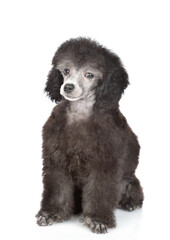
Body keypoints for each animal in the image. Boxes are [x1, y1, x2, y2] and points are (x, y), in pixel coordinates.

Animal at [36, 37, 144, 232]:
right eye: (66, 71)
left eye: (89, 75)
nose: (68, 87)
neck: (80, 112)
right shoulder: (56, 159)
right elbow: (57, 189)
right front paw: (51, 214)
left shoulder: (104, 164)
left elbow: (99, 191)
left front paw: (97, 219)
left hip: (129, 180)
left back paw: (130, 202)